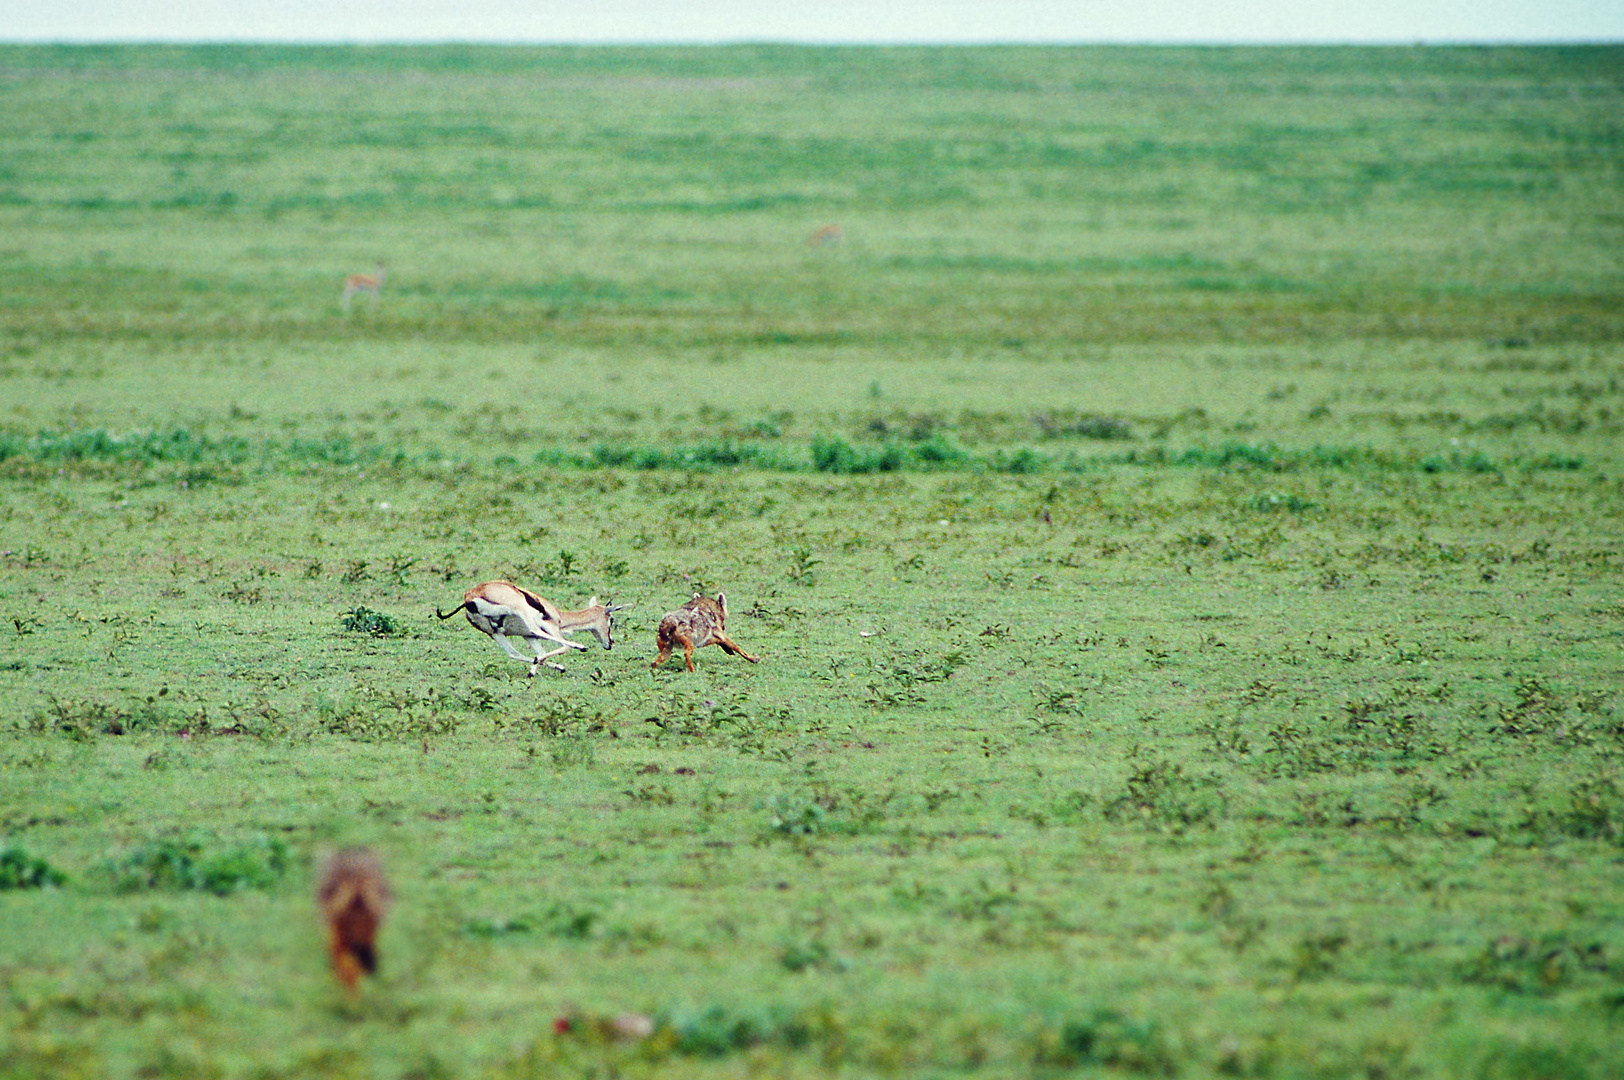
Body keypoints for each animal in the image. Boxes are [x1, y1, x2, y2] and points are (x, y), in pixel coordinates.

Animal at [438, 581, 626, 675]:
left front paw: (539, 669)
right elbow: (562, 646)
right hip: (520, 610)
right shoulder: (549, 628)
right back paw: (579, 646)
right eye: (611, 620)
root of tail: (470, 597)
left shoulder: (527, 636)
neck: (558, 615)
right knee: (558, 642)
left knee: (513, 653)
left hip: (496, 633)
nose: (609, 643)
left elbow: (539, 653)